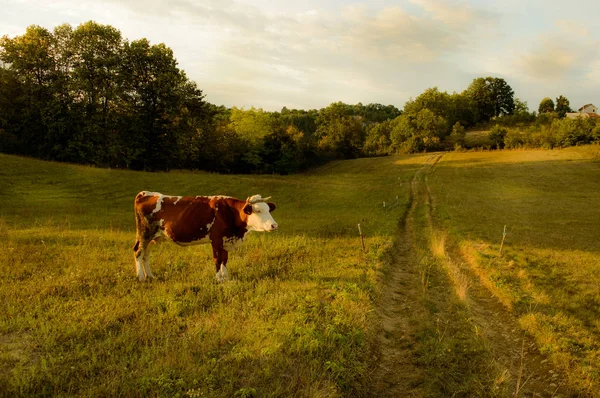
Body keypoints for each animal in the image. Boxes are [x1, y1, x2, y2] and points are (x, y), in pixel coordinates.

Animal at [132, 191, 278, 282]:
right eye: (258, 210)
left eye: (268, 209)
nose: (274, 225)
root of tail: (145, 193)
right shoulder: (216, 239)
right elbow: (217, 259)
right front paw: (218, 278)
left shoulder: (225, 240)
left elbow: (224, 259)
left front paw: (226, 277)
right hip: (144, 234)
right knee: (139, 252)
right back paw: (141, 277)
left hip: (153, 238)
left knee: (146, 255)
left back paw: (150, 276)